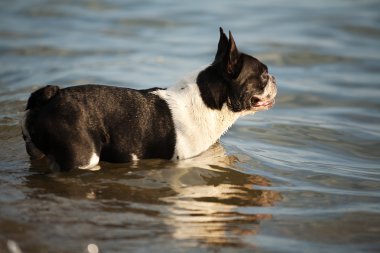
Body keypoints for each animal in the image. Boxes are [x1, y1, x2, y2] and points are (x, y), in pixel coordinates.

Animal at [21, 28, 276, 172]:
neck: (208, 100)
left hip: (37, 152)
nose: (274, 78)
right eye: (263, 74)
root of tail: (50, 97)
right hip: (84, 157)